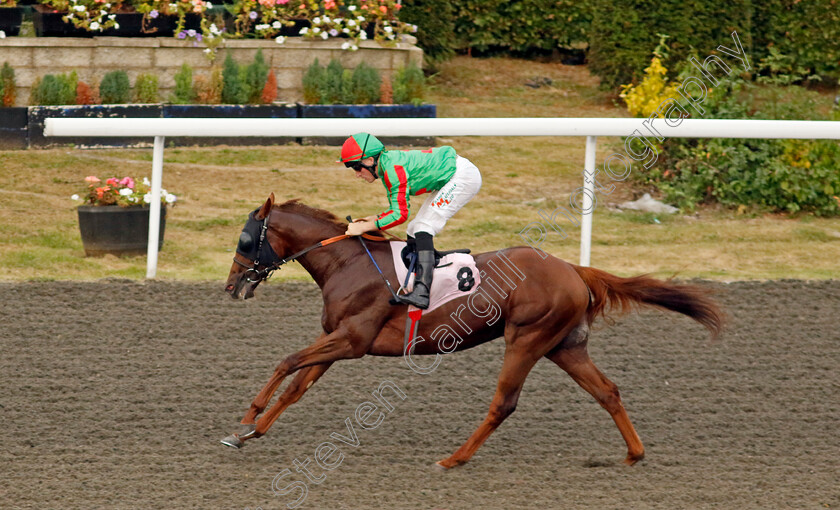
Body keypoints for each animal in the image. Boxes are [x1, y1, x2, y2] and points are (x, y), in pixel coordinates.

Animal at [223, 195, 720, 470]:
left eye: (245, 239)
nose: (231, 286)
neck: (348, 263)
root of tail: (573, 269)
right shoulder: (338, 340)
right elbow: (295, 387)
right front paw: (251, 431)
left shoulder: (353, 341)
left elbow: (286, 362)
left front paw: (246, 419)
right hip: (564, 345)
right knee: (607, 391)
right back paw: (634, 454)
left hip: (526, 339)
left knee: (504, 403)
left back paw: (454, 458)